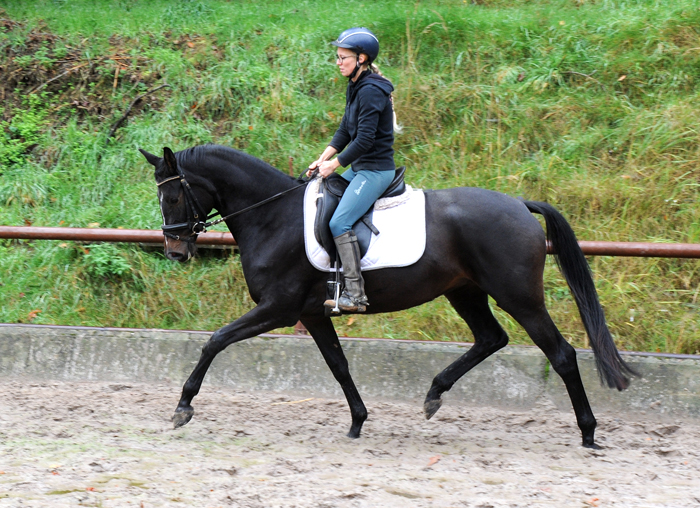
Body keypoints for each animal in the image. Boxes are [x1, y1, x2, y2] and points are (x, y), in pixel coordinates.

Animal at [139, 144, 636, 448]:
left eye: (174, 198)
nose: (175, 251)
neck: (273, 216)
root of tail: (518, 204)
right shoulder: (313, 314)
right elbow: (338, 365)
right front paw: (358, 420)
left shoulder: (277, 308)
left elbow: (215, 340)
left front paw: (183, 407)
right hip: (465, 292)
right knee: (491, 339)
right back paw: (434, 394)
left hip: (519, 297)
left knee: (561, 354)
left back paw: (588, 432)